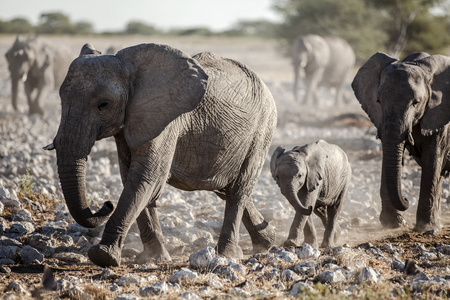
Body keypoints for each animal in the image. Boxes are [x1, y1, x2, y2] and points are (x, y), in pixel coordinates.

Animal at [46, 42, 278, 268]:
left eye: (103, 105)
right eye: (61, 101)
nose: (107, 204)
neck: (130, 68)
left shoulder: (166, 119)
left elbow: (147, 177)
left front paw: (103, 256)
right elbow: (132, 178)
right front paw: (153, 258)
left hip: (262, 129)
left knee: (238, 190)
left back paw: (229, 254)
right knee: (226, 188)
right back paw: (267, 242)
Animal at [352, 51, 450, 232]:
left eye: (415, 103)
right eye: (378, 101)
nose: (406, 199)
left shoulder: (441, 117)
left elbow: (432, 159)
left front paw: (425, 228)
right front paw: (392, 224)